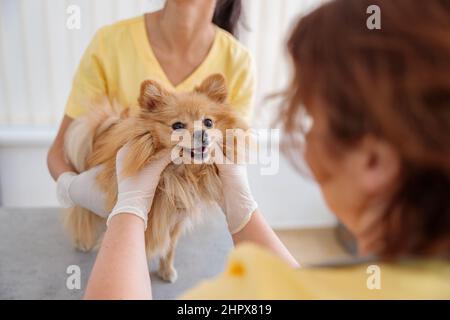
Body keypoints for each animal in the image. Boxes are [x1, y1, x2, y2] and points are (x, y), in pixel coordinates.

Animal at [62, 74, 248, 282]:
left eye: (208, 122)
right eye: (178, 126)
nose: (202, 134)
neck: (179, 173)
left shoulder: (175, 222)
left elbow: (169, 249)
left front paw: (166, 270)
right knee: (81, 212)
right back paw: (82, 241)